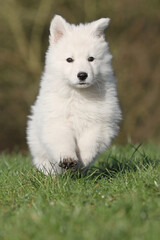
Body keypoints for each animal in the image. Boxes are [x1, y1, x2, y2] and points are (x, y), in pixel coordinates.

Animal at [26, 15, 121, 174]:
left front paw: (83, 160)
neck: (78, 95)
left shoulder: (100, 122)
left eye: (91, 59)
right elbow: (63, 143)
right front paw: (68, 159)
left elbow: (90, 143)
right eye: (69, 59)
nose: (82, 75)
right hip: (39, 150)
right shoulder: (58, 122)